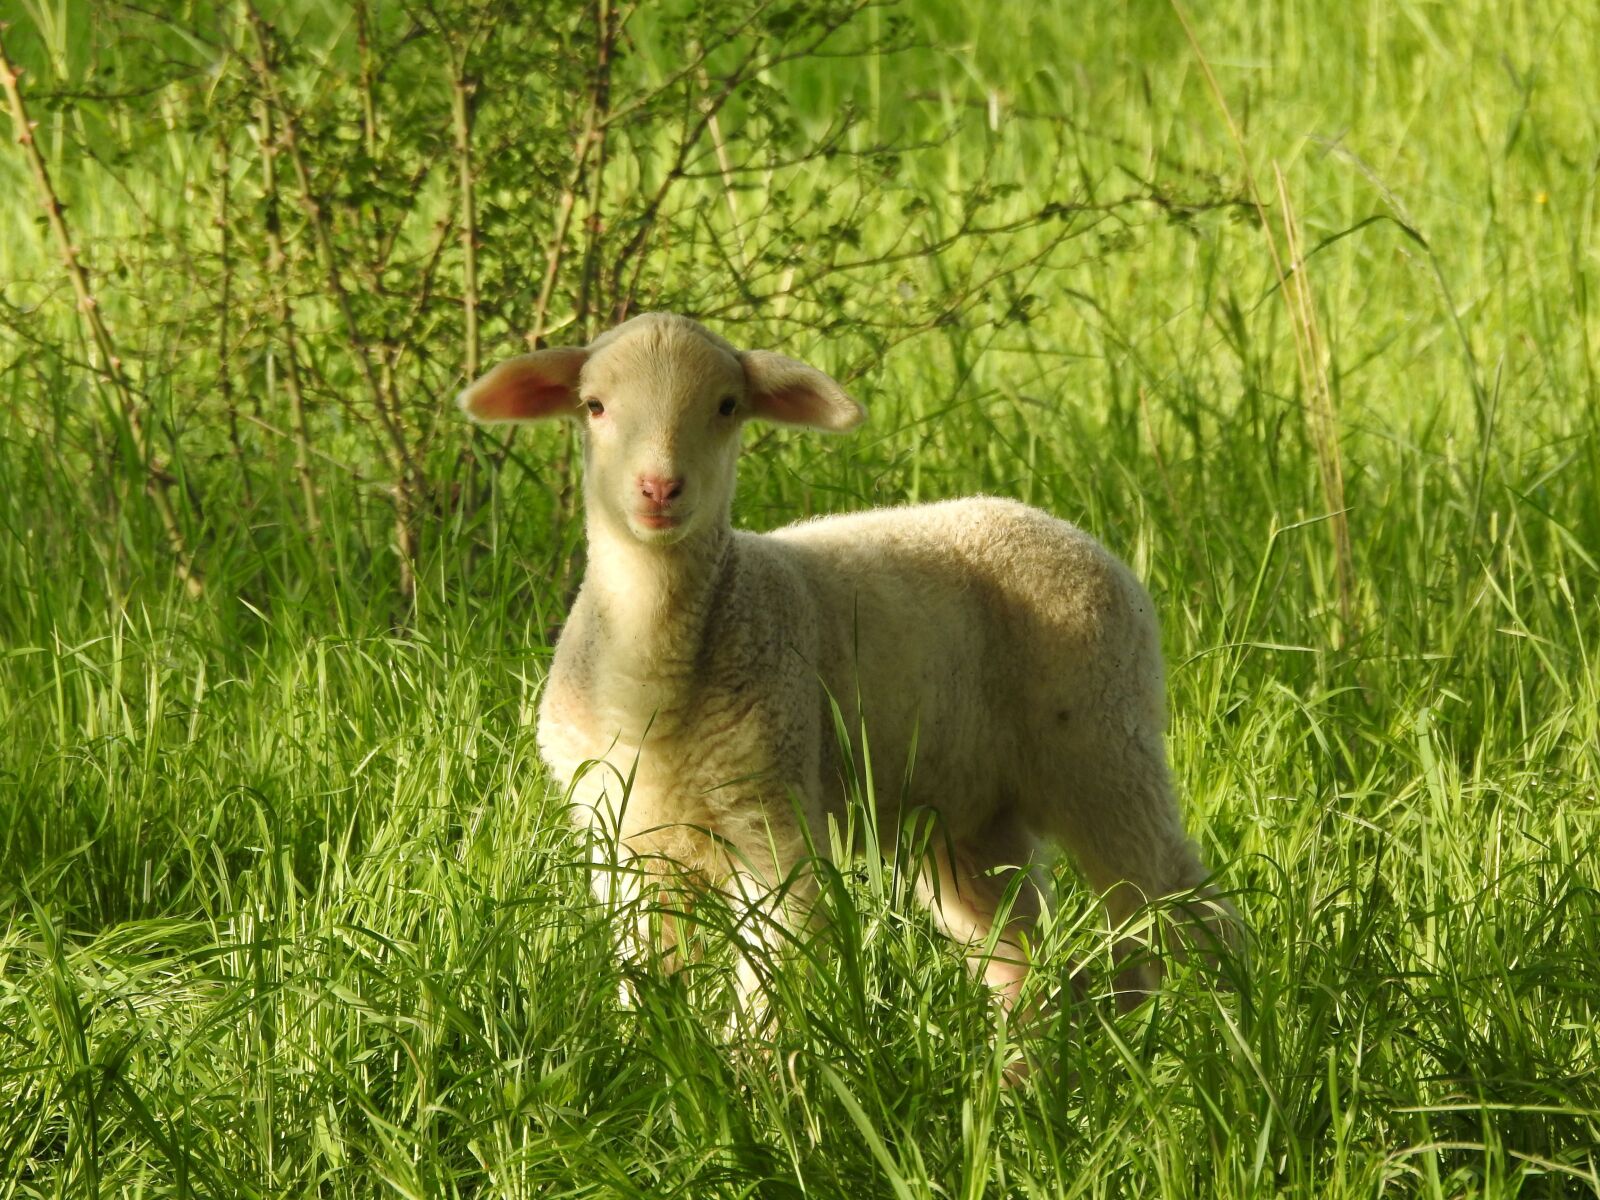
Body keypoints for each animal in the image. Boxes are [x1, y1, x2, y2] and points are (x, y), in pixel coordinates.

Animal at [459, 311, 1234, 1022]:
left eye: (727, 405)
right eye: (594, 405)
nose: (659, 489)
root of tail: (1065, 529)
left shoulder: (772, 817)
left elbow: (769, 983)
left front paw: (759, 1079)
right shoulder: (623, 842)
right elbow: (648, 981)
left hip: (1104, 746)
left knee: (1178, 904)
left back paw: (1228, 1026)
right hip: (968, 816)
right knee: (1018, 959)